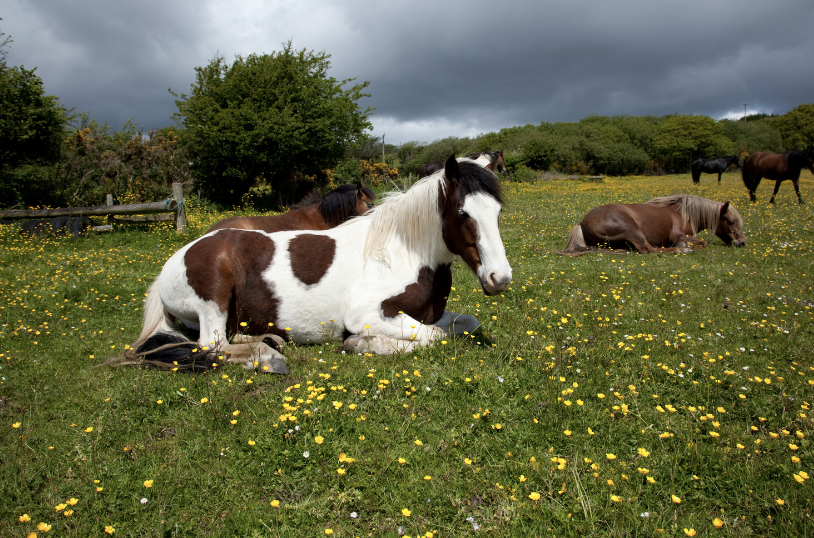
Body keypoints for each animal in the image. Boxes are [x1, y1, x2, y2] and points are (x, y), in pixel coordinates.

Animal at [560, 194, 744, 254]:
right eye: (731, 221)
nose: (742, 242)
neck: (681, 214)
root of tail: (582, 223)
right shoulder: (678, 236)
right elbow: (703, 242)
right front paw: (686, 246)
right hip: (632, 230)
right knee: (649, 249)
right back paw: (682, 250)